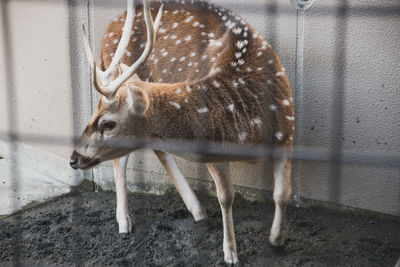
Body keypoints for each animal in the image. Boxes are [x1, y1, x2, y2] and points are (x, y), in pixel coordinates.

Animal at [69, 0, 294, 264]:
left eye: (108, 124)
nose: (73, 158)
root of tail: (109, 28)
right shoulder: (212, 148)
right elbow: (226, 197)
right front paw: (230, 253)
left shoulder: (286, 133)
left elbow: (282, 193)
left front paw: (277, 240)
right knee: (124, 159)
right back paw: (124, 222)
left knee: (156, 149)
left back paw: (197, 210)